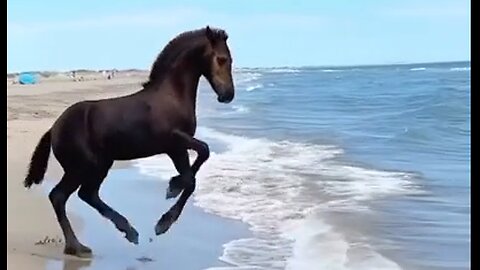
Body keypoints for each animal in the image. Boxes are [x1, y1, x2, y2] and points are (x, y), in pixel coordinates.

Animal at [23, 25, 235, 258]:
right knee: (60, 196)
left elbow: (192, 175)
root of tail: (54, 128)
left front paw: (172, 188)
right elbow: (201, 158)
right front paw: (163, 222)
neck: (171, 96)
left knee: (87, 194)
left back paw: (126, 231)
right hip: (81, 167)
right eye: (222, 59)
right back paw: (77, 246)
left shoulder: (176, 149)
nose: (228, 95)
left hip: (100, 164)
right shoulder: (174, 140)